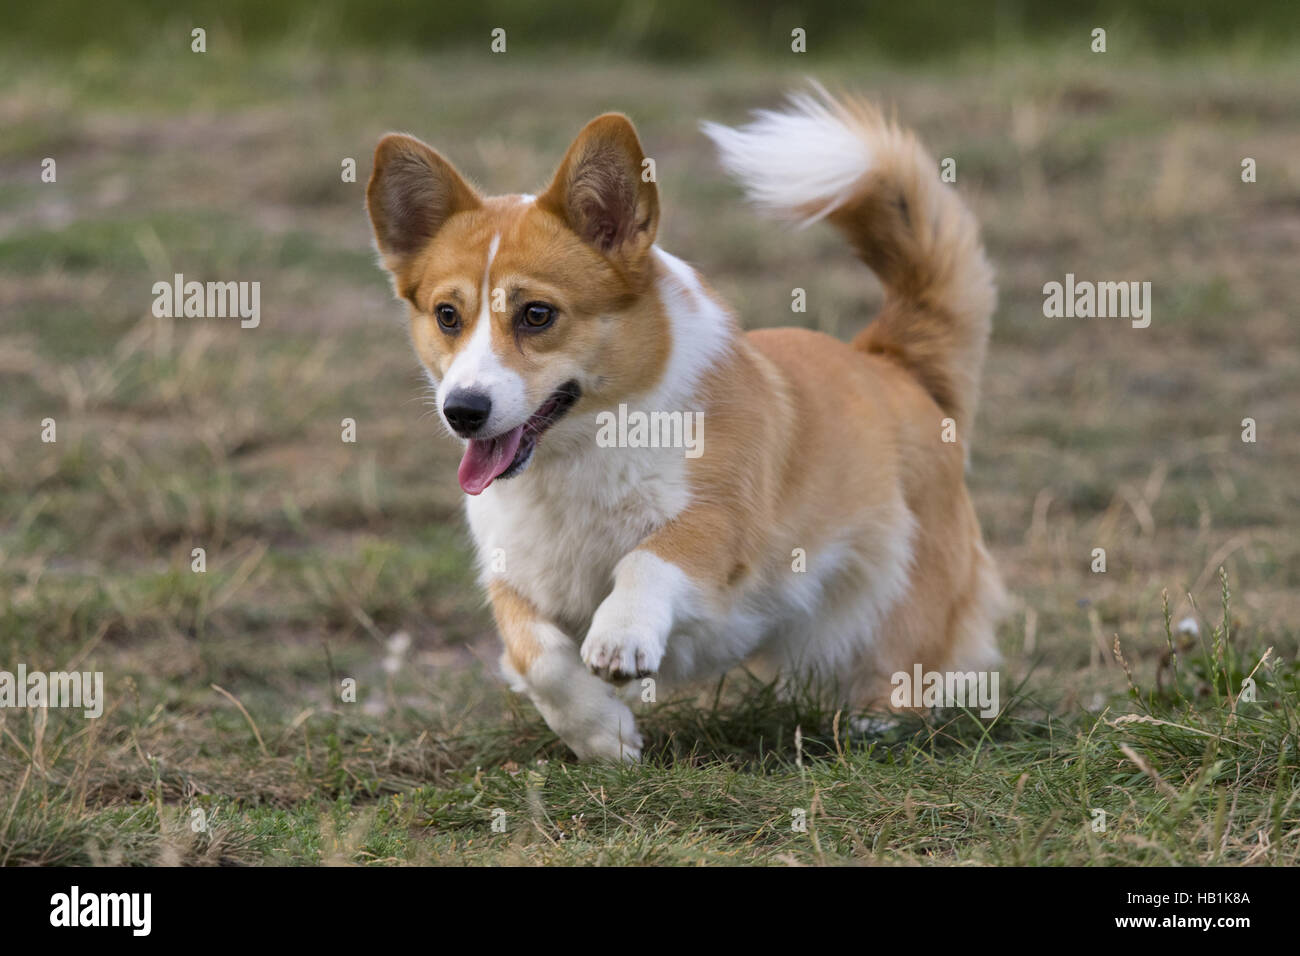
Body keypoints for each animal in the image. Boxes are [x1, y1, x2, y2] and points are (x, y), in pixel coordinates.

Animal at [366, 85, 1003, 759]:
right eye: (447, 315)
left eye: (537, 314)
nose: (463, 411)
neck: (585, 446)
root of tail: (891, 359)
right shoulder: (513, 574)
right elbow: (538, 658)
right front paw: (604, 736)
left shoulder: (721, 521)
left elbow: (648, 557)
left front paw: (620, 638)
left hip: (907, 589)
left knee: (908, 662)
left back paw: (875, 725)